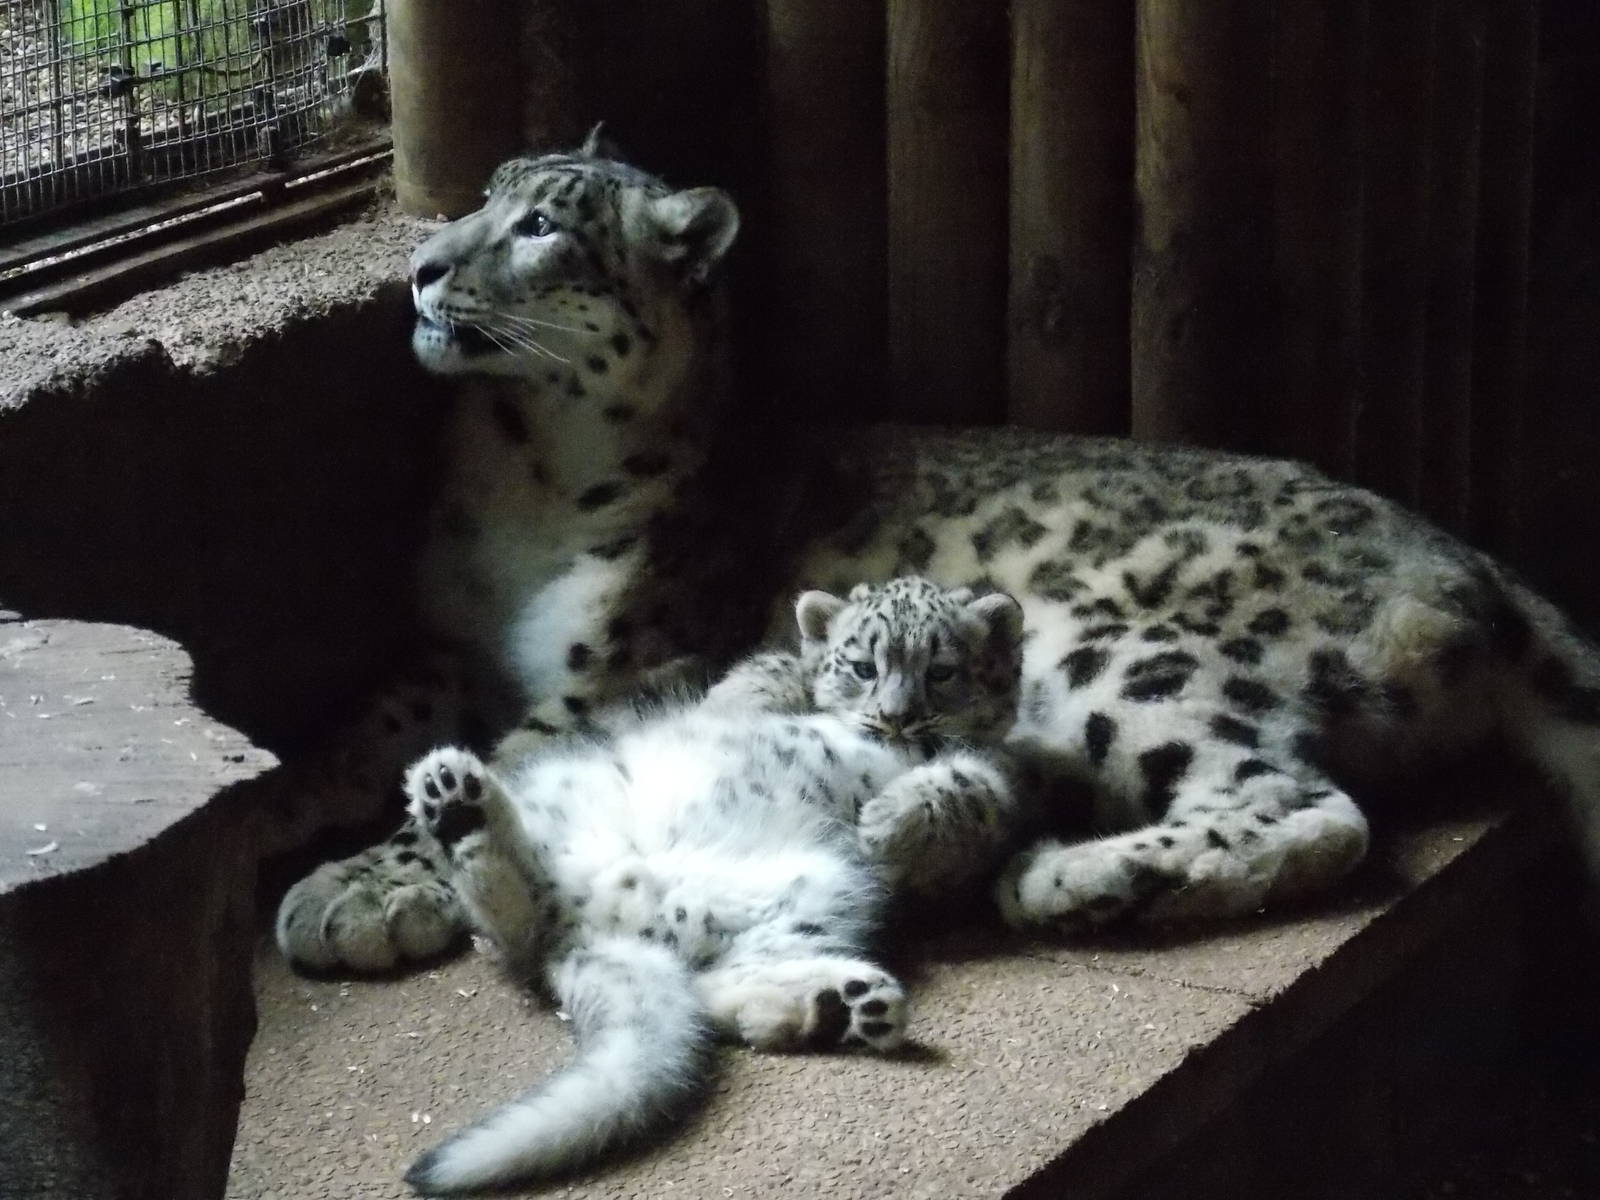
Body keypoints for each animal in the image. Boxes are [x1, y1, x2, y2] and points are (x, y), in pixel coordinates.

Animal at [275, 132, 1600, 979]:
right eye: (481, 195)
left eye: (543, 225)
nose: (421, 268)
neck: (518, 479)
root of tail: (1470, 563)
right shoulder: (445, 639)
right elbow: (377, 716)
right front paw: (293, 791)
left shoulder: (621, 670)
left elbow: (503, 756)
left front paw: (359, 888)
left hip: (1107, 652)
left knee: (1303, 803)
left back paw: (1070, 881)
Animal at [397, 577, 1025, 1193]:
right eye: (863, 667)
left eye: (941, 671)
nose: (896, 717)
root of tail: (589, 929)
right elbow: (765, 679)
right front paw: (754, 699)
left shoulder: (991, 785)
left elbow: (969, 787)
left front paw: (885, 818)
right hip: (563, 792)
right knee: (507, 925)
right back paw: (453, 803)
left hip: (822, 892)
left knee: (707, 988)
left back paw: (839, 1007)